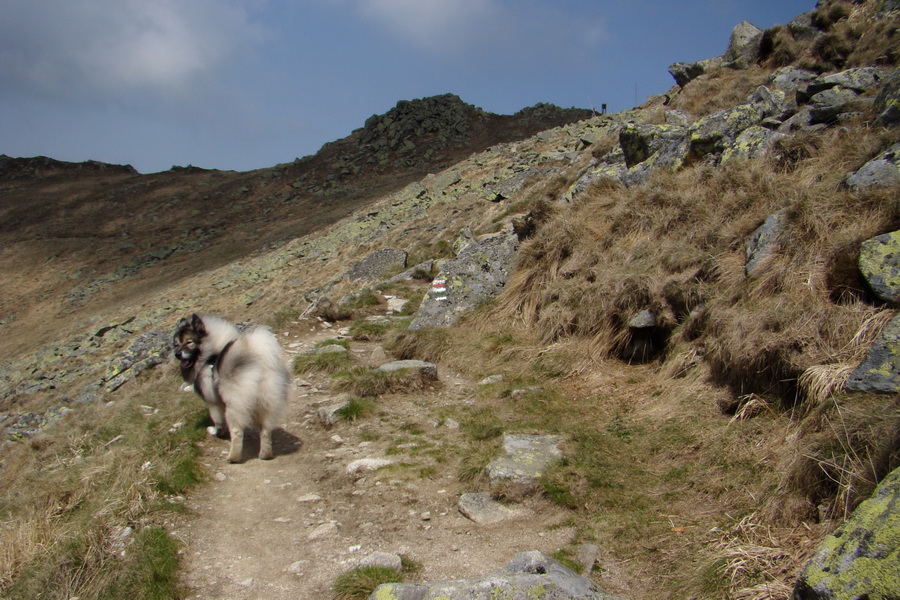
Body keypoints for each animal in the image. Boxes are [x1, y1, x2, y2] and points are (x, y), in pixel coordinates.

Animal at [174, 314, 290, 464]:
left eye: (189, 342)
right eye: (176, 344)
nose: (177, 354)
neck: (209, 355)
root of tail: (258, 365)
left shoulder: (213, 403)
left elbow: (218, 421)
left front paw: (215, 432)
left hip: (234, 406)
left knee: (237, 432)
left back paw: (232, 457)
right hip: (267, 404)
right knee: (265, 431)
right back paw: (265, 454)